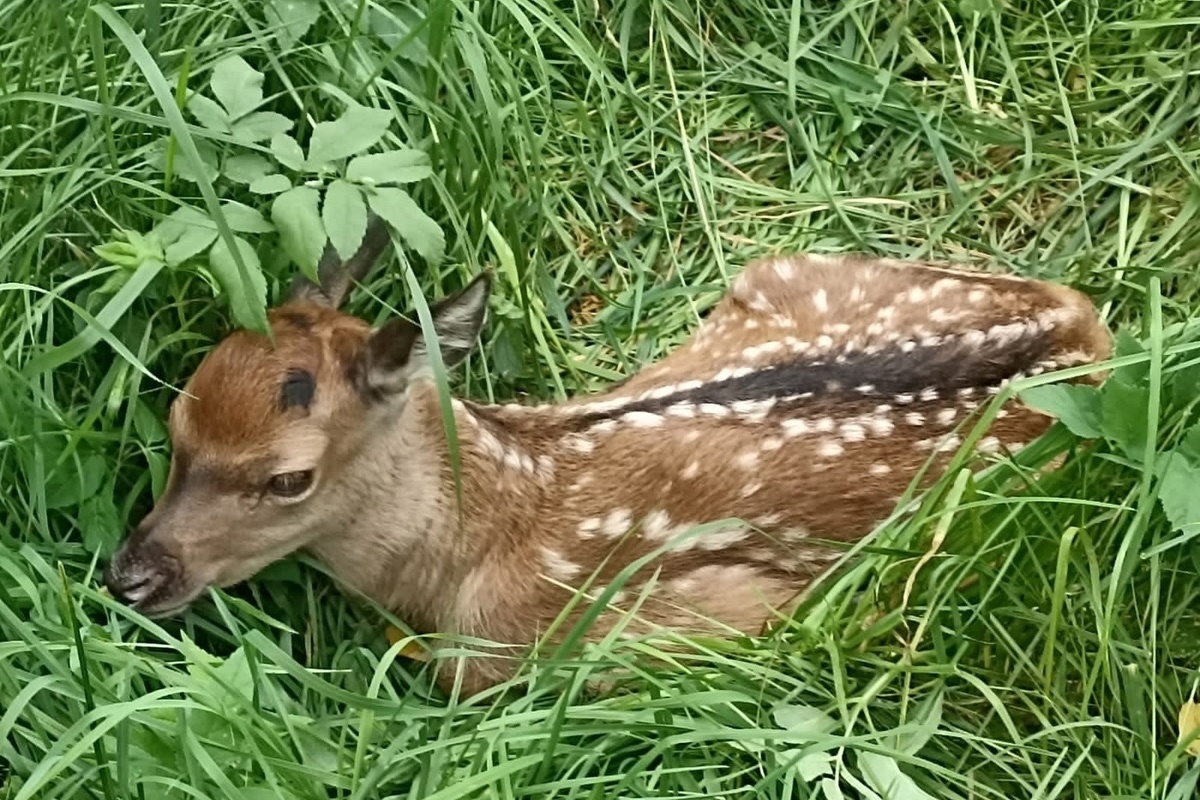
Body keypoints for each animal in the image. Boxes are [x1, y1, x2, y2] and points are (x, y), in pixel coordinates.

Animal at [103, 215, 1113, 695]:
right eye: (176, 416)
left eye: (288, 478)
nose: (131, 574)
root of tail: (1086, 330)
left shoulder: (669, 628)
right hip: (791, 265)